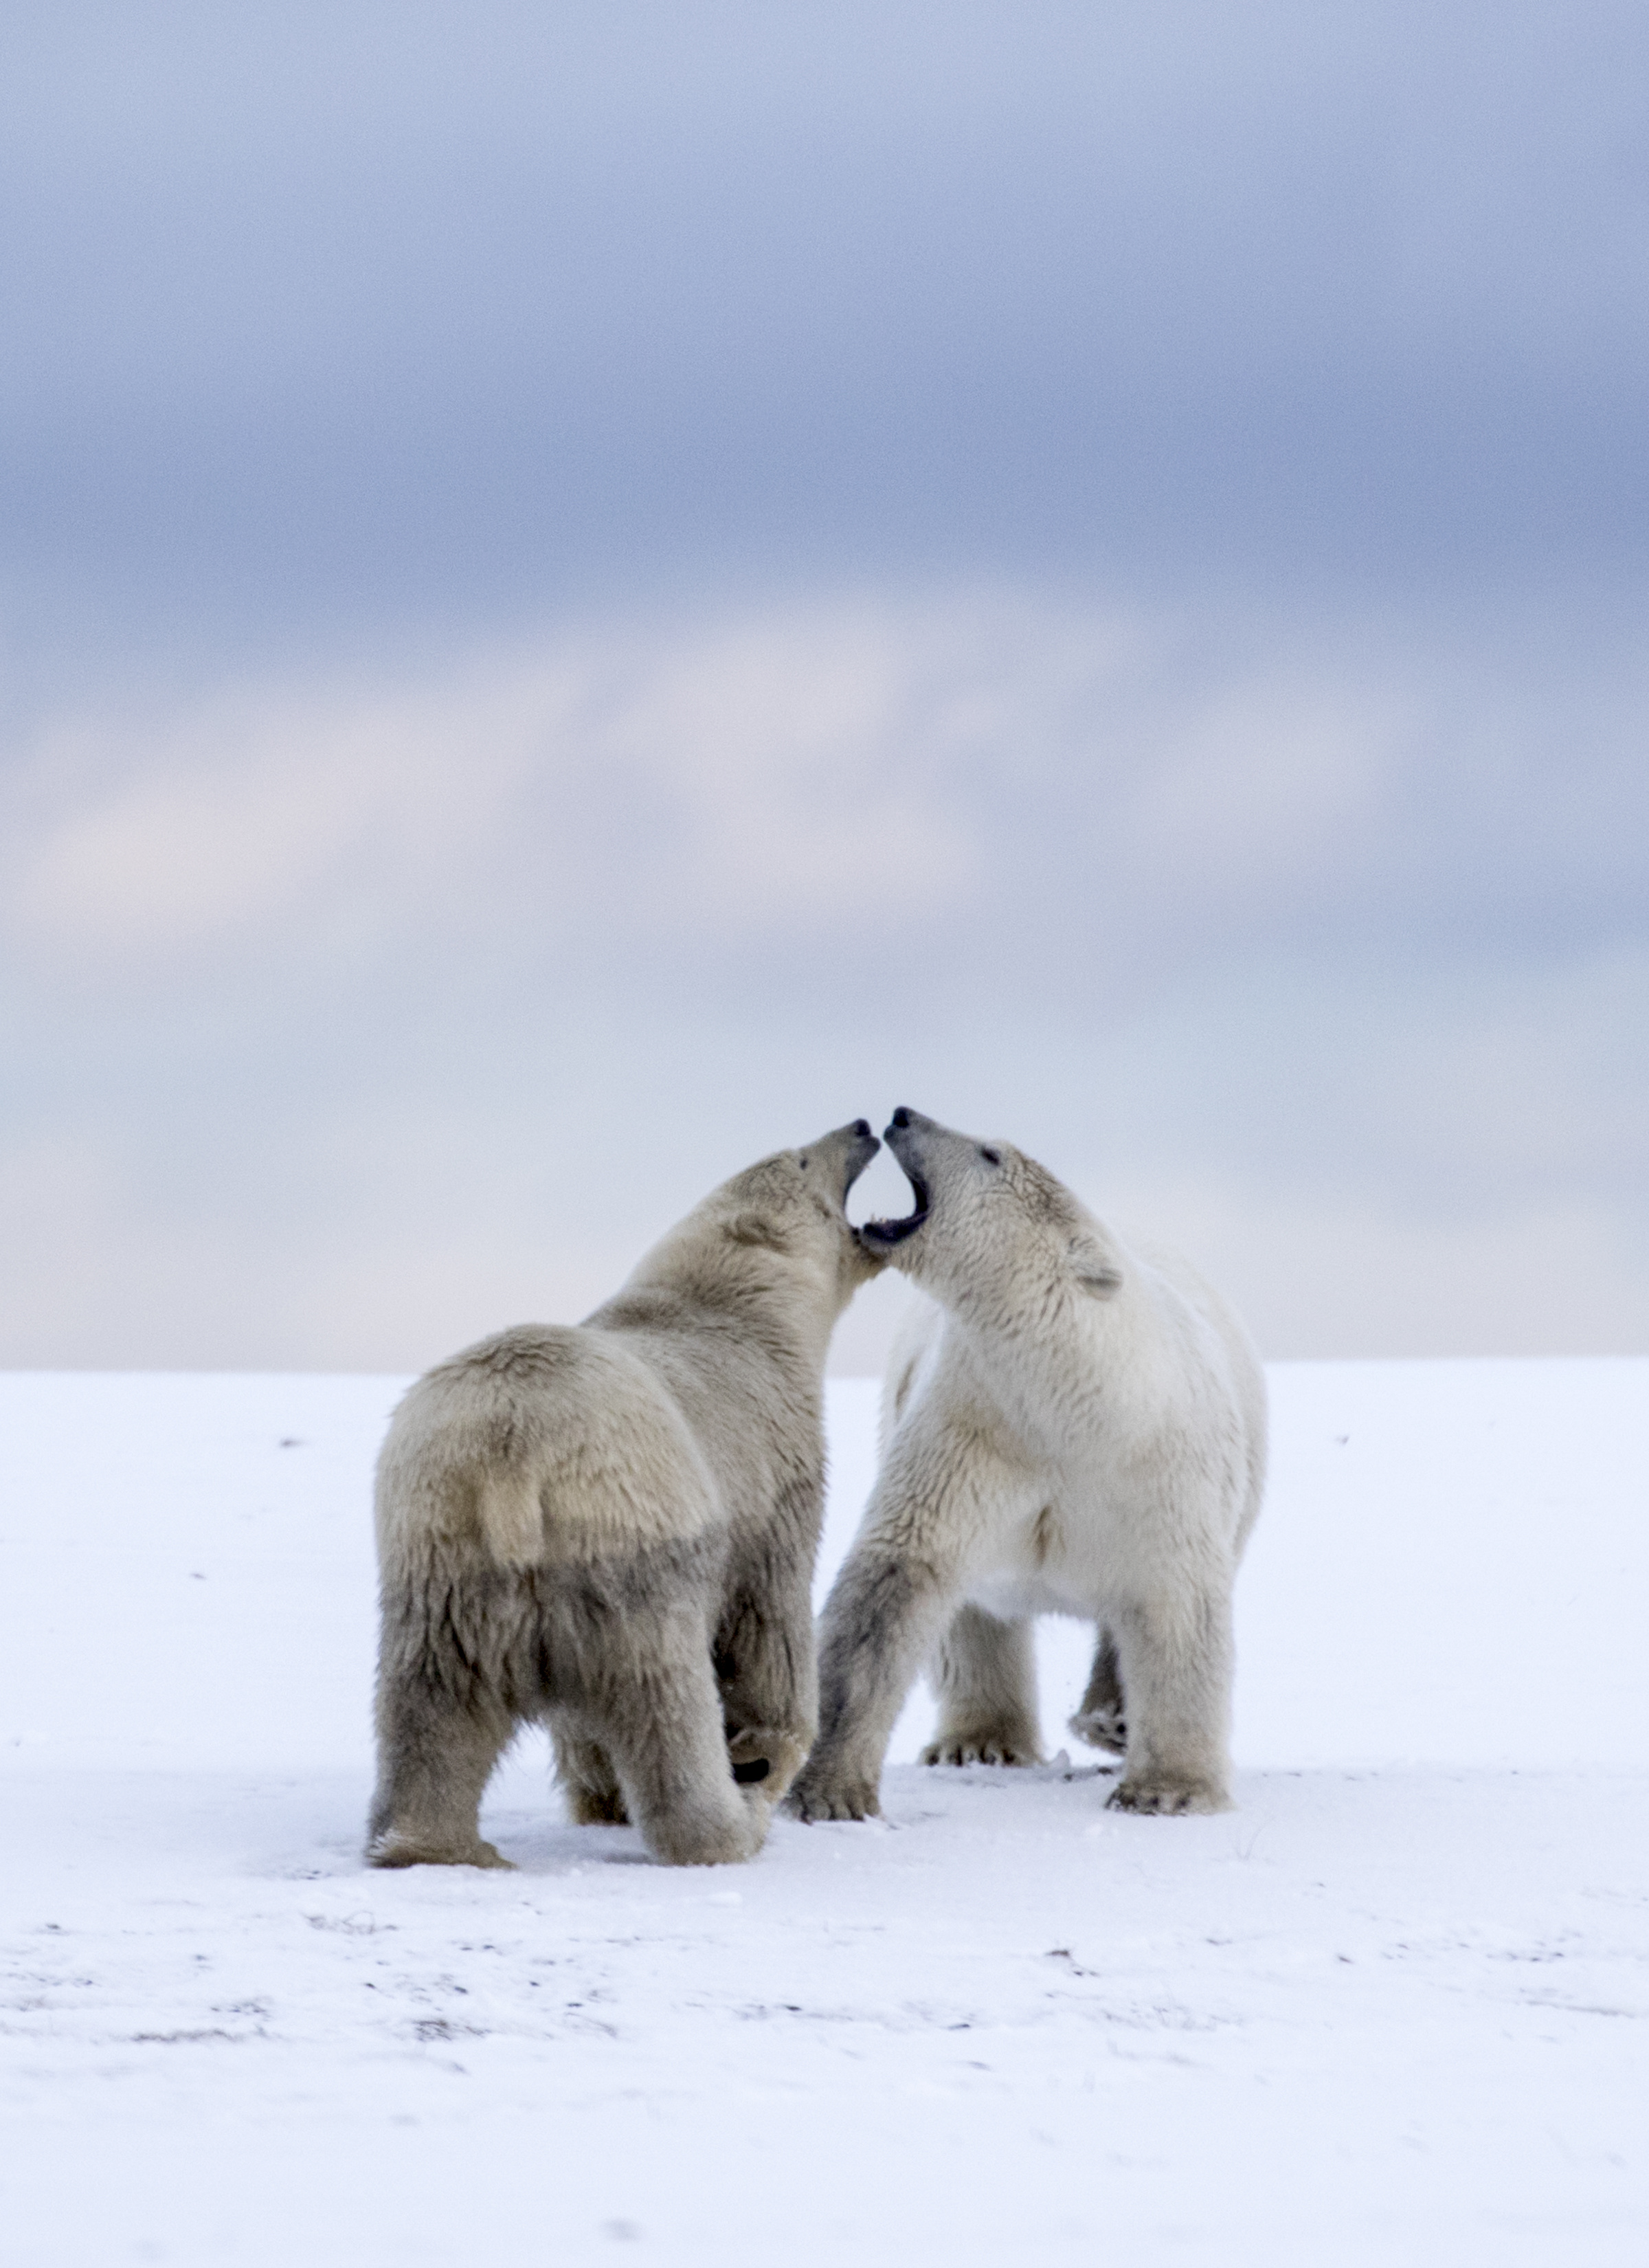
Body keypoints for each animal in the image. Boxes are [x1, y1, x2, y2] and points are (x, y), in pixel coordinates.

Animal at [367, 1118, 883, 1870]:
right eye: (803, 1160)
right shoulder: (772, 1476)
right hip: (630, 1552)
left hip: (441, 1556)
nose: (864, 1125)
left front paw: (602, 1802)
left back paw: (429, 1846)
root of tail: (511, 1449)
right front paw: (763, 1758)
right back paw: (726, 1828)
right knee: (664, 1695)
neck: (732, 1306)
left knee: (434, 1701)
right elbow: (770, 1632)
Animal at [789, 1108, 1266, 1823]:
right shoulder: (974, 1431)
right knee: (978, 1619)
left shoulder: (1161, 1466)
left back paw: (1109, 1718)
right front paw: (827, 1790)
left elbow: (1175, 1604)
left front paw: (1168, 1790)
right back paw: (979, 1743)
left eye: (990, 1154)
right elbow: (900, 1576)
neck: (1073, 1402)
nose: (902, 1114)